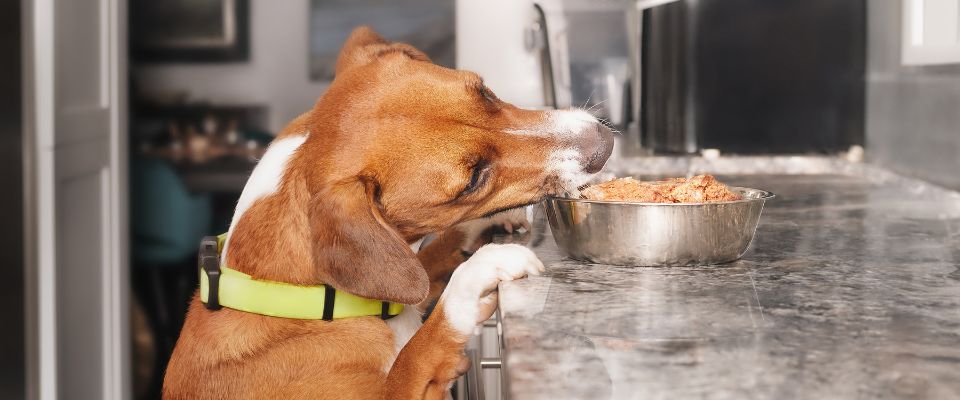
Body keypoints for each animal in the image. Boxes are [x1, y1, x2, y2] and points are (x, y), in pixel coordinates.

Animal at [163, 26, 616, 398]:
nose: (605, 143)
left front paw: (486, 228)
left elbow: (427, 265)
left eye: (484, 92)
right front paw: (477, 275)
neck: (308, 301)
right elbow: (418, 351)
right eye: (472, 179)